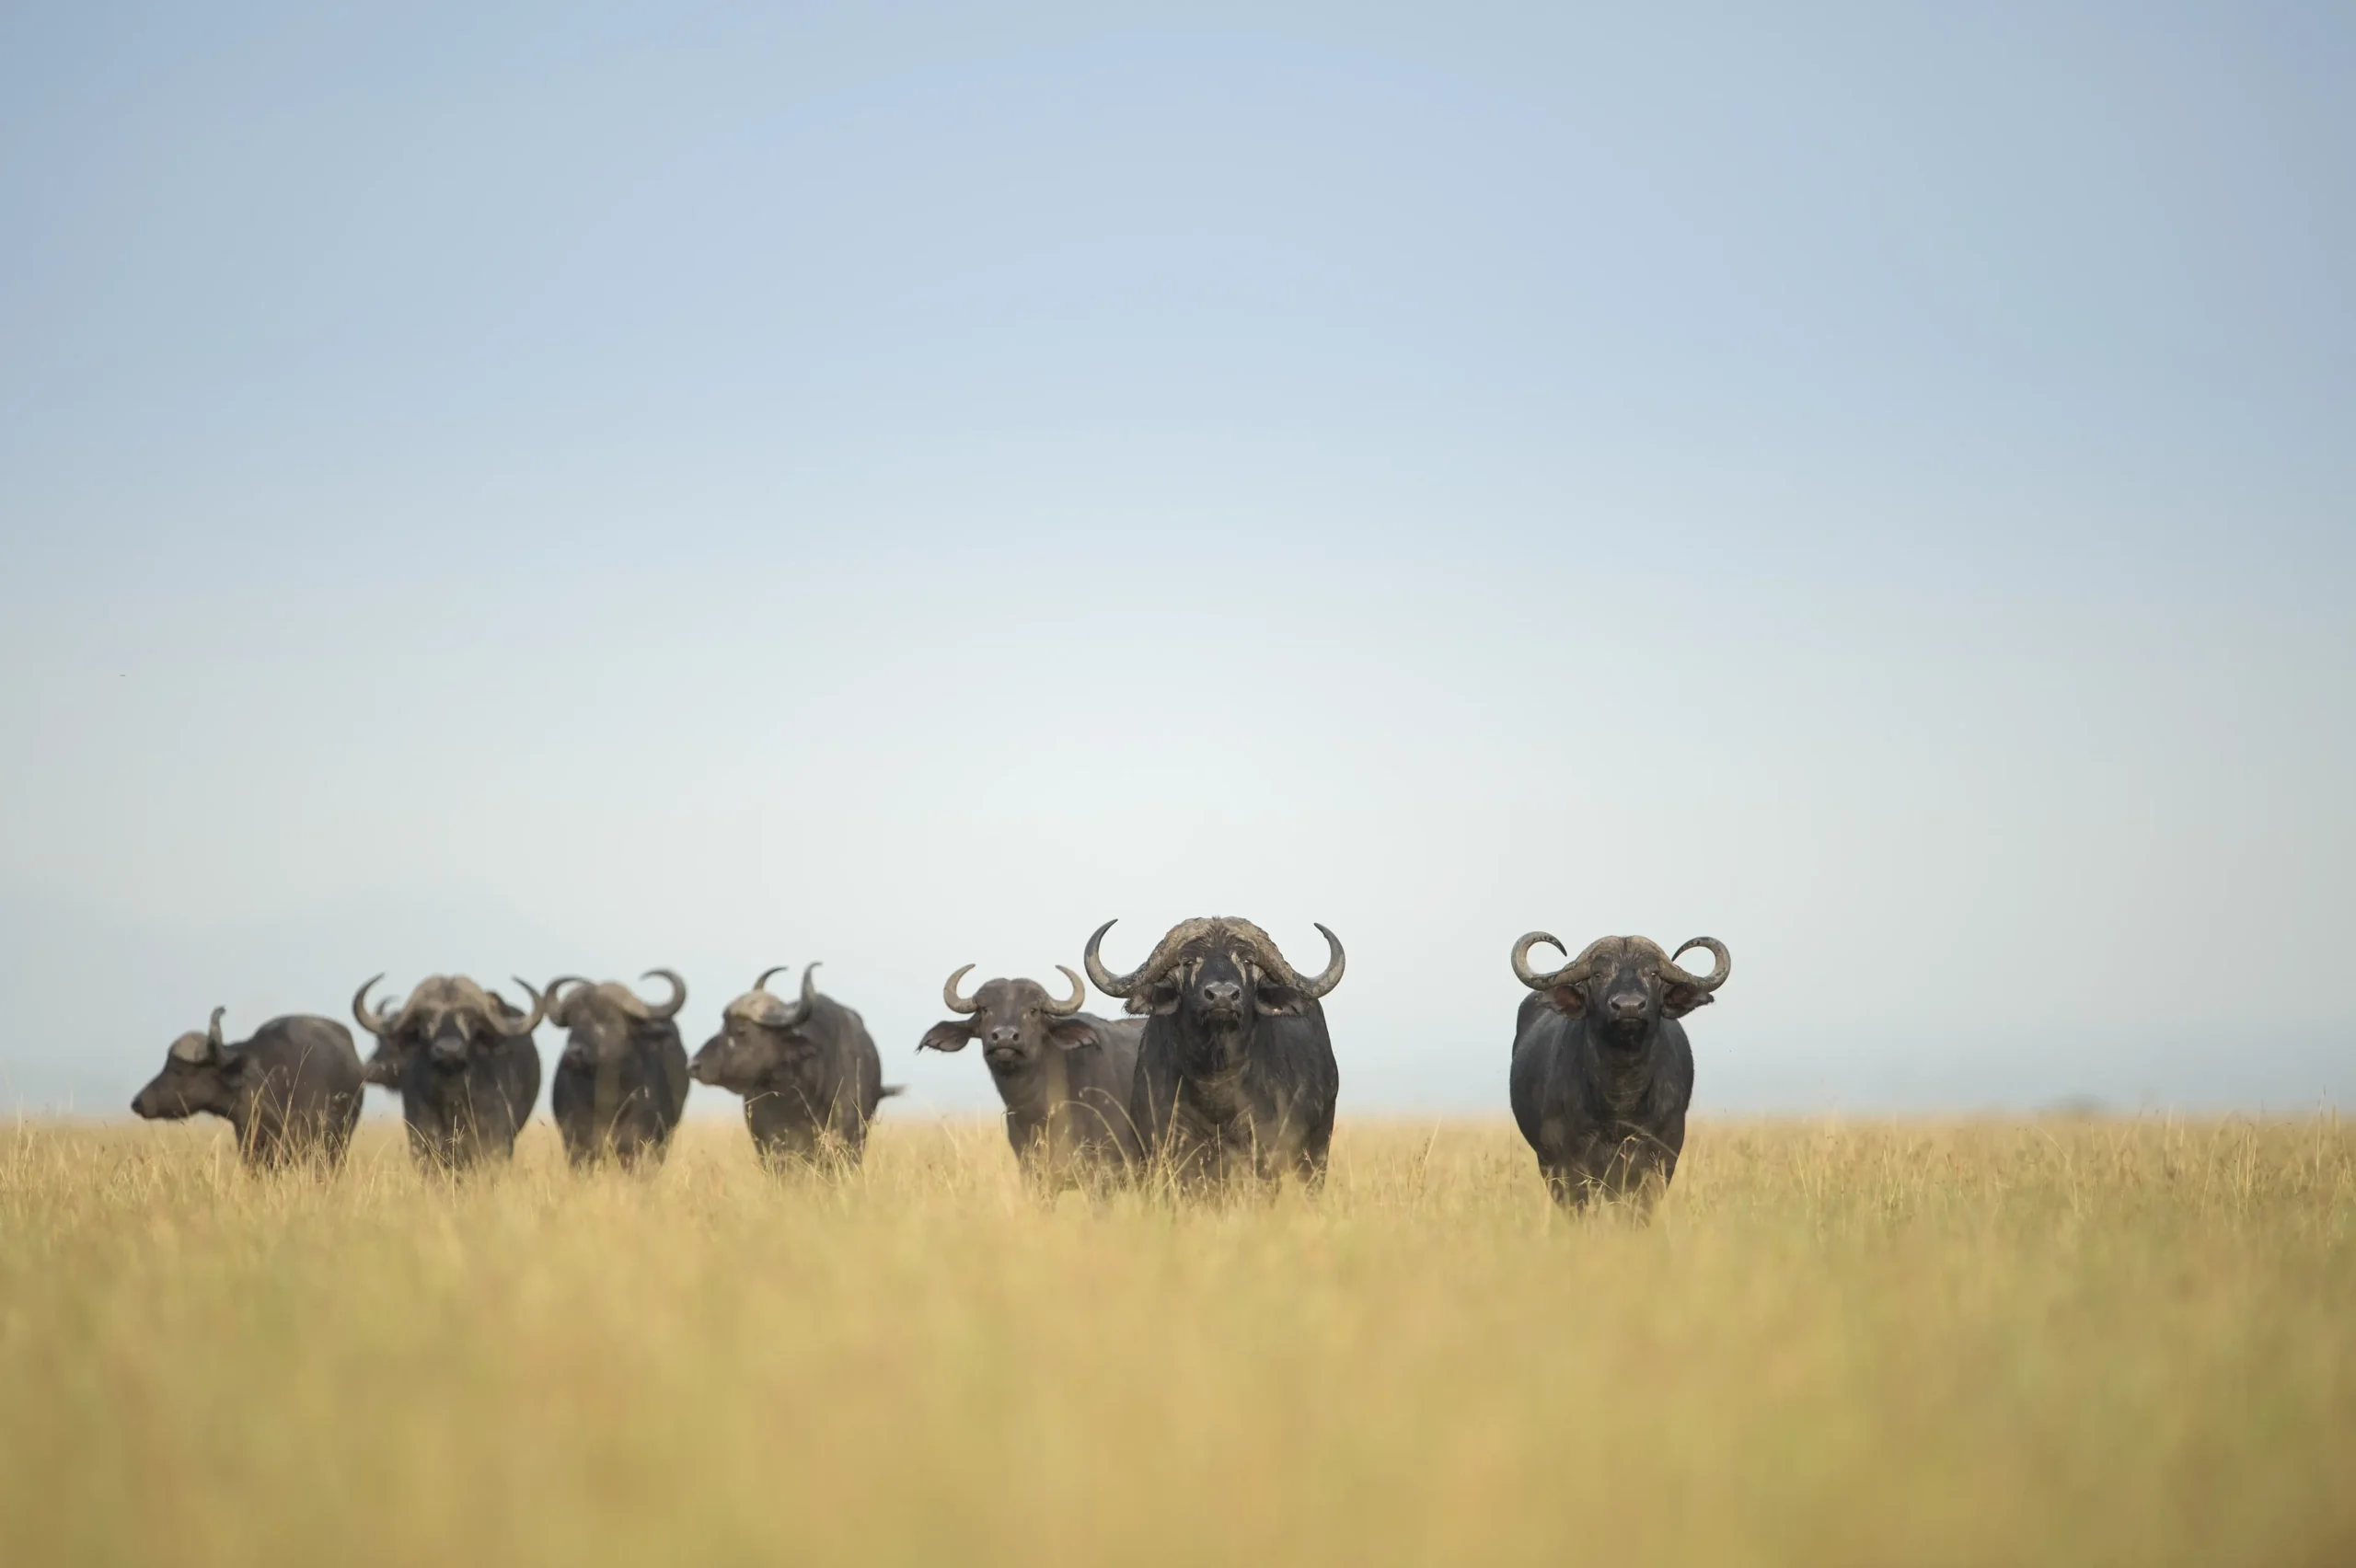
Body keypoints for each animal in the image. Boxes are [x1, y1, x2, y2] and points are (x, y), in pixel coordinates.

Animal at [353, 974, 546, 1170]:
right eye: (426, 1018)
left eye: (470, 1018)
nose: (449, 1050)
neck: (451, 1097)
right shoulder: (421, 1138)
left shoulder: (495, 1141)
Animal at [545, 969, 692, 1170]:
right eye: (573, 1023)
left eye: (605, 1020)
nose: (573, 1053)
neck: (609, 1101)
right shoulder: (576, 1143)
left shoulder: (639, 1144)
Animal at [919, 964, 1144, 1185]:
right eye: (985, 1009)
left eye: (1033, 1010)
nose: (1005, 1037)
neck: (1037, 1114)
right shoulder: (1034, 1177)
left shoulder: (1103, 1176)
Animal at [1506, 932, 1730, 1209]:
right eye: (1598, 974)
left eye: (1653, 973)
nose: (1629, 1007)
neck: (1620, 1094)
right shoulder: (1565, 1160)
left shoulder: (1662, 1154)